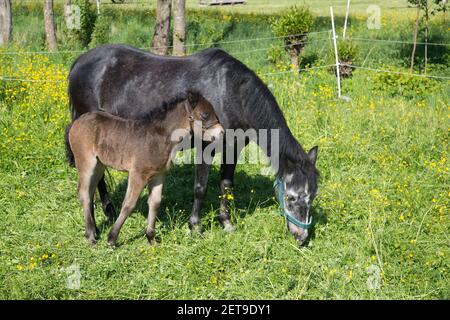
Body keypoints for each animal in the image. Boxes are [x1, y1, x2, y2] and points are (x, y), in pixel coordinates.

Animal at [68, 91, 223, 246]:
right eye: (204, 114)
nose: (221, 133)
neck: (160, 138)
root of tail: (77, 121)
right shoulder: (138, 174)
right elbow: (129, 204)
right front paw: (112, 238)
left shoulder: (158, 175)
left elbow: (155, 203)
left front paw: (151, 238)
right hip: (86, 162)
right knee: (84, 193)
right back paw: (91, 237)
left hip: (99, 165)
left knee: (90, 191)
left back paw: (93, 231)